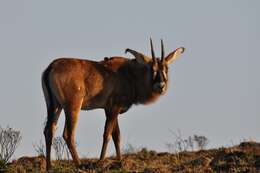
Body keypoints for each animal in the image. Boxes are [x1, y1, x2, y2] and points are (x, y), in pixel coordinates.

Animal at [41, 39, 185, 170]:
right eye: (152, 69)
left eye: (166, 68)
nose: (161, 86)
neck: (130, 74)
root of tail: (51, 67)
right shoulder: (113, 109)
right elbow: (107, 134)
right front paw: (101, 161)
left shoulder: (110, 110)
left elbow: (117, 136)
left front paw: (120, 162)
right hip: (72, 107)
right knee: (68, 134)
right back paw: (79, 165)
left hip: (55, 106)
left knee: (49, 130)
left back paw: (49, 167)